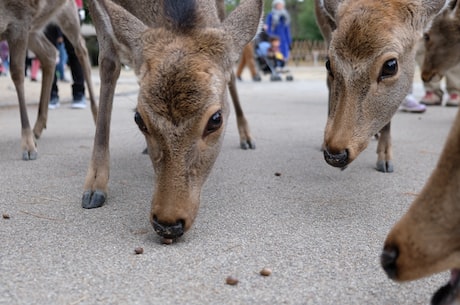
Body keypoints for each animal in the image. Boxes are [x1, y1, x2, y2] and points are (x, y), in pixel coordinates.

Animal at [0, 0, 97, 160]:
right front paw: (31, 141)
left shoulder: (20, 20)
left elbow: (17, 73)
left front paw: (28, 146)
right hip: (35, 27)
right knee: (50, 53)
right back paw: (38, 128)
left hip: (68, 11)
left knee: (81, 49)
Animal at [83, 0, 262, 240]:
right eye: (138, 118)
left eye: (216, 119)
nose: (168, 223)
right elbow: (109, 63)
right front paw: (94, 187)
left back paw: (247, 138)